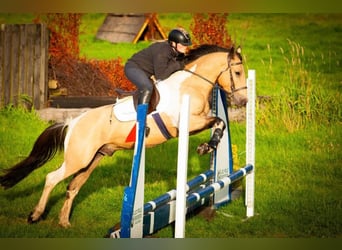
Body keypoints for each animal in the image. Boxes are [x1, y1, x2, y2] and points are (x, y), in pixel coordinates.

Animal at [0, 44, 247, 228]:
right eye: (237, 72)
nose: (243, 101)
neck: (190, 86)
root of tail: (72, 123)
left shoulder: (198, 122)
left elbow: (219, 122)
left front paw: (208, 146)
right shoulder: (187, 123)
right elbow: (219, 120)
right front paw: (206, 146)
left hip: (91, 160)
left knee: (73, 186)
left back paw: (64, 222)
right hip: (78, 158)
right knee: (52, 178)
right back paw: (35, 215)